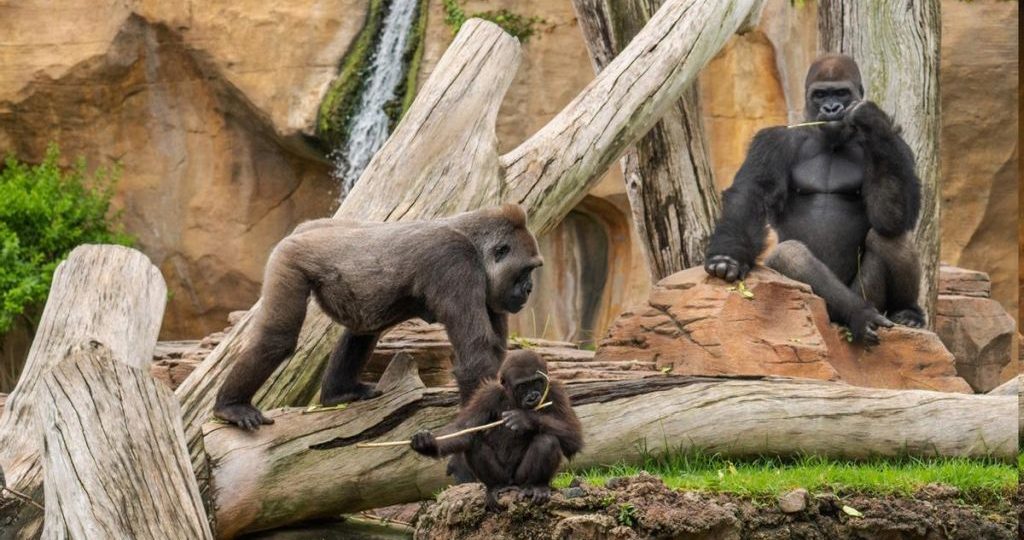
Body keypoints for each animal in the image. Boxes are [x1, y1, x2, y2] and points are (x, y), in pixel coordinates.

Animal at [215, 203, 544, 430]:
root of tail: (304, 229)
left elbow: (495, 353)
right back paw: (231, 406)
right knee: (277, 339)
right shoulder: (454, 262)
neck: (474, 242)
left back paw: (339, 393)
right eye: (526, 270)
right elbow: (476, 359)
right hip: (289, 258)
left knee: (362, 331)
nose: (530, 289)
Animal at [409, 350, 585, 512]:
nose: (533, 396)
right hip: (504, 477)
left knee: (547, 440)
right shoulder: (487, 394)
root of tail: (513, 484)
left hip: (520, 479)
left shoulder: (556, 391)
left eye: (537, 382)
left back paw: (537, 485)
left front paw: (525, 419)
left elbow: (574, 436)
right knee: (475, 444)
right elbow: (463, 429)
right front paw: (427, 443)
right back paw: (497, 486)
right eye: (523, 386)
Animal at [704, 52, 929, 344]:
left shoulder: (898, 145)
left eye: (841, 93)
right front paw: (727, 257)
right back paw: (857, 313)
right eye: (820, 95)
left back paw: (906, 310)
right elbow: (751, 194)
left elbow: (891, 217)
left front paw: (872, 119)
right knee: (789, 254)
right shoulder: (773, 140)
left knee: (890, 237)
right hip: (812, 301)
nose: (832, 108)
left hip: (868, 297)